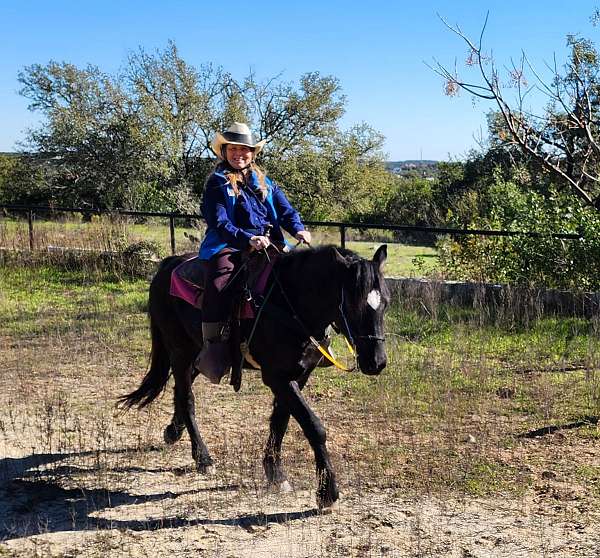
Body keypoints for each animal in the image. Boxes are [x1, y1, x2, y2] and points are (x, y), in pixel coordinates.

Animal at [120, 245, 392, 512]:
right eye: (352, 304)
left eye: (386, 303)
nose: (376, 362)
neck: (288, 302)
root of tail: (169, 265)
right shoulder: (276, 377)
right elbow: (313, 426)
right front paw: (327, 493)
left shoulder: (298, 375)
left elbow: (280, 421)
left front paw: (275, 473)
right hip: (180, 352)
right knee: (187, 398)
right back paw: (203, 458)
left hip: (197, 354)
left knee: (180, 391)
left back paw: (173, 431)